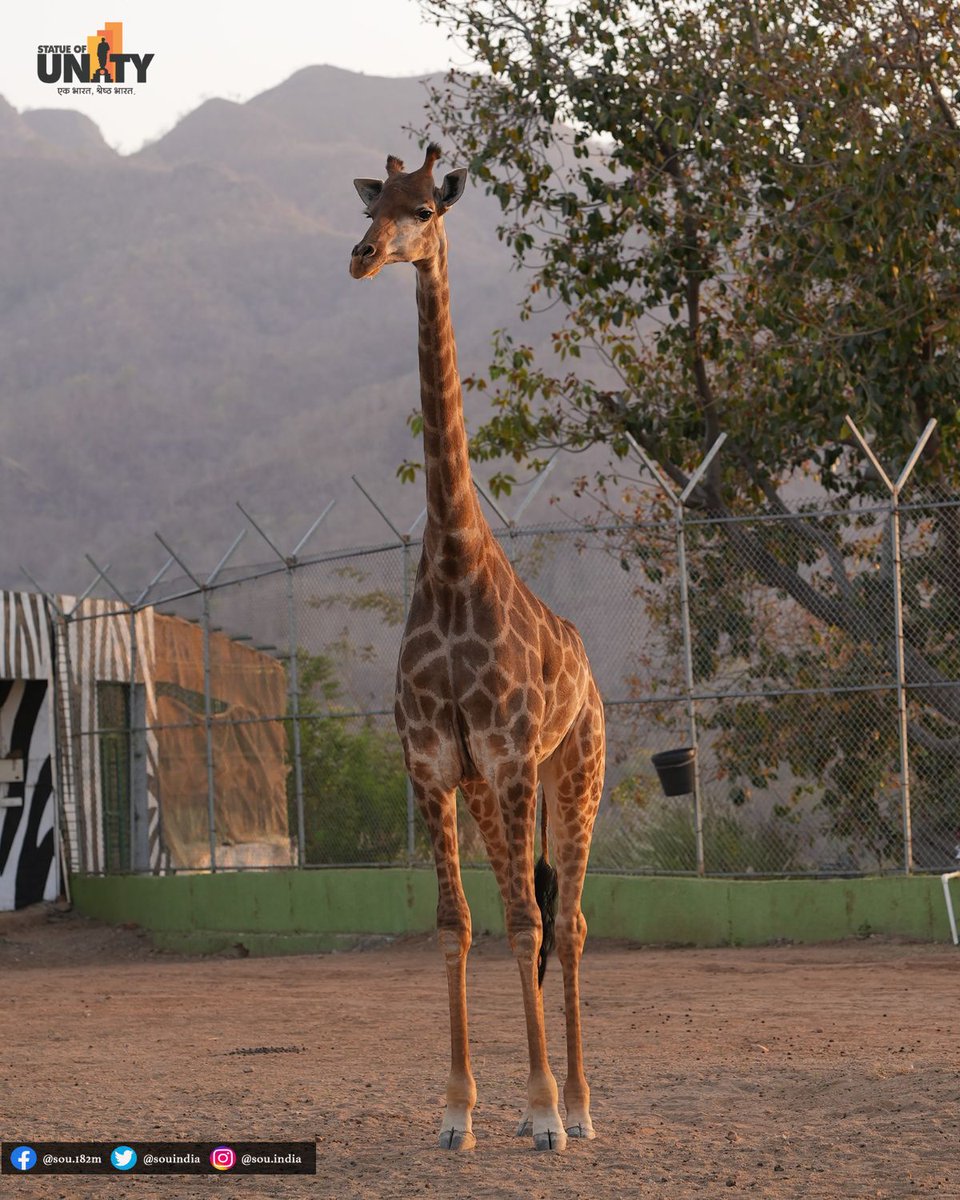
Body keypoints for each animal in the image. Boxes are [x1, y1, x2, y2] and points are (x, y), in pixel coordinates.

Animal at [348, 142, 604, 1152]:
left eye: (425, 209)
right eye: (372, 203)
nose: (362, 255)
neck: (455, 564)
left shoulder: (505, 756)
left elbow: (528, 923)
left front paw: (541, 1114)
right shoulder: (431, 762)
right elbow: (457, 923)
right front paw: (458, 1111)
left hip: (570, 773)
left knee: (565, 922)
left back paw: (581, 1105)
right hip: (500, 790)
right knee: (518, 905)